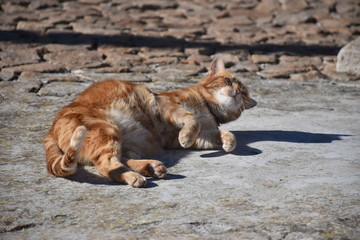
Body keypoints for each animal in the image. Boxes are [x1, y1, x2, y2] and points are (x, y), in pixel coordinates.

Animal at [44, 58, 256, 188]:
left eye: (245, 94)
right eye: (228, 81)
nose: (238, 91)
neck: (208, 110)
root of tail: (50, 129)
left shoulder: (185, 137)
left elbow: (225, 135)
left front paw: (227, 142)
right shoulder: (170, 107)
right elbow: (192, 120)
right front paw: (187, 136)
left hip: (133, 141)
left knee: (123, 160)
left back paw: (151, 168)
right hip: (107, 131)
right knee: (107, 165)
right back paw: (136, 177)